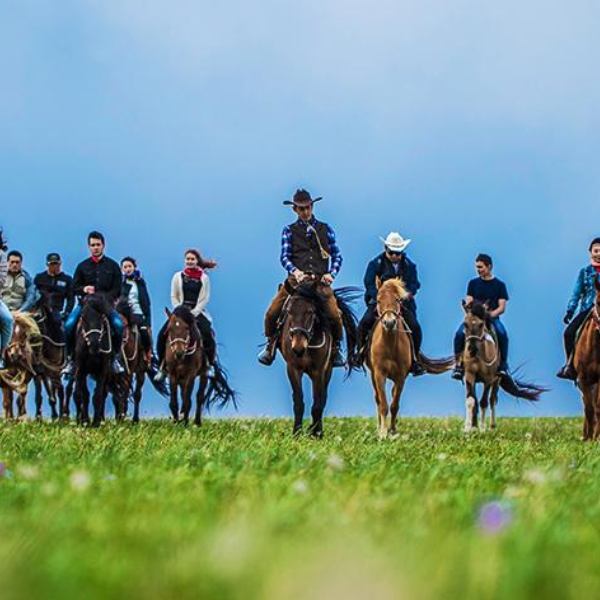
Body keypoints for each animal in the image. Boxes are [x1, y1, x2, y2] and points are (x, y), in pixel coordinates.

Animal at [72, 292, 123, 424]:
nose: (94, 344)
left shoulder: (103, 370)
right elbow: (84, 394)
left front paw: (95, 422)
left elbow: (98, 395)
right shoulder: (81, 369)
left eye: (102, 317)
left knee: (108, 393)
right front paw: (84, 420)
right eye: (83, 317)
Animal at [278, 282, 358, 436]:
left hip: (328, 371)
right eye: (289, 311)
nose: (298, 347)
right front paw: (296, 433)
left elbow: (317, 403)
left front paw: (316, 433)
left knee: (323, 399)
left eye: (310, 312)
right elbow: (298, 402)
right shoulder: (293, 369)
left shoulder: (319, 371)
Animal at [366, 278, 454, 438]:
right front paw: (383, 433)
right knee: (377, 399)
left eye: (397, 299)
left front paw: (392, 431)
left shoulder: (401, 377)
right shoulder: (379, 374)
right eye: (378, 300)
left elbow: (394, 405)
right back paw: (379, 427)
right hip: (372, 375)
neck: (389, 344)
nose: (389, 323)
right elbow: (383, 404)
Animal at [460, 302, 544, 434]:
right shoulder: (469, 376)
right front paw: (468, 428)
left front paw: (482, 428)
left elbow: (484, 402)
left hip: (497, 381)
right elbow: (471, 401)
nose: (471, 350)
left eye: (481, 324)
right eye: (465, 324)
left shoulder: (488, 379)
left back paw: (492, 426)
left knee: (492, 399)